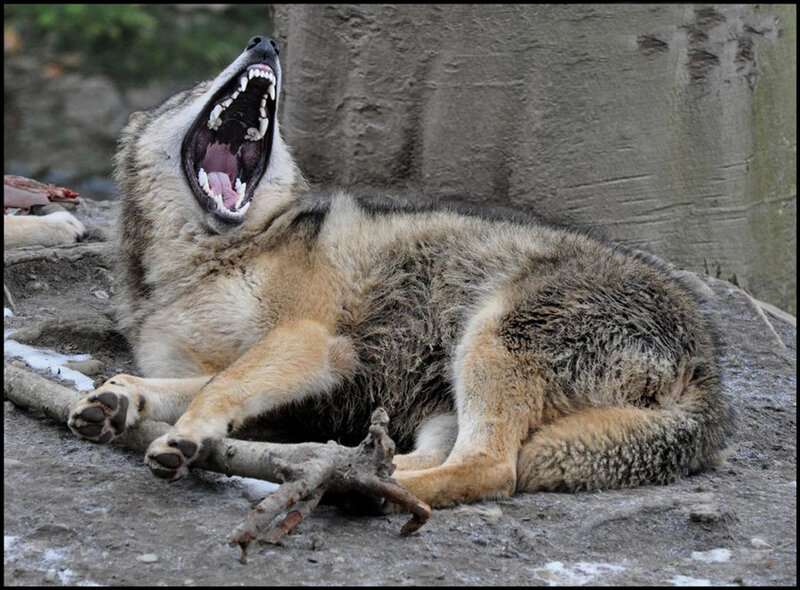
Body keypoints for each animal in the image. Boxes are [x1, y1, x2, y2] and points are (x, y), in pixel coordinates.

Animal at [67, 35, 733, 507]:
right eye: (195, 91)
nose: (265, 43)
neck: (200, 264)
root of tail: (709, 373)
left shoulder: (311, 341)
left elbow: (217, 387)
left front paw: (186, 436)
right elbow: (180, 381)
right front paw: (118, 398)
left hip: (490, 338)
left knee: (491, 470)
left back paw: (355, 490)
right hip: (445, 404)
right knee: (430, 458)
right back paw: (329, 464)